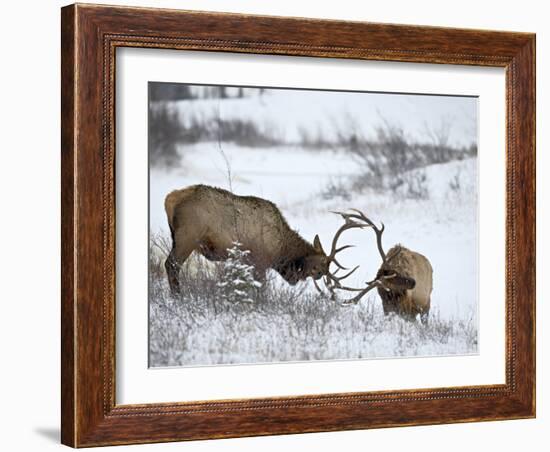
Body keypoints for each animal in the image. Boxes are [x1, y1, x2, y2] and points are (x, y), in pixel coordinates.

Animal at [164, 185, 362, 296]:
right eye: (320, 268)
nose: (297, 278)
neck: (281, 248)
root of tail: (170, 199)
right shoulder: (260, 261)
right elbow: (262, 288)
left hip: (177, 237)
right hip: (188, 236)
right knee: (171, 264)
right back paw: (178, 297)